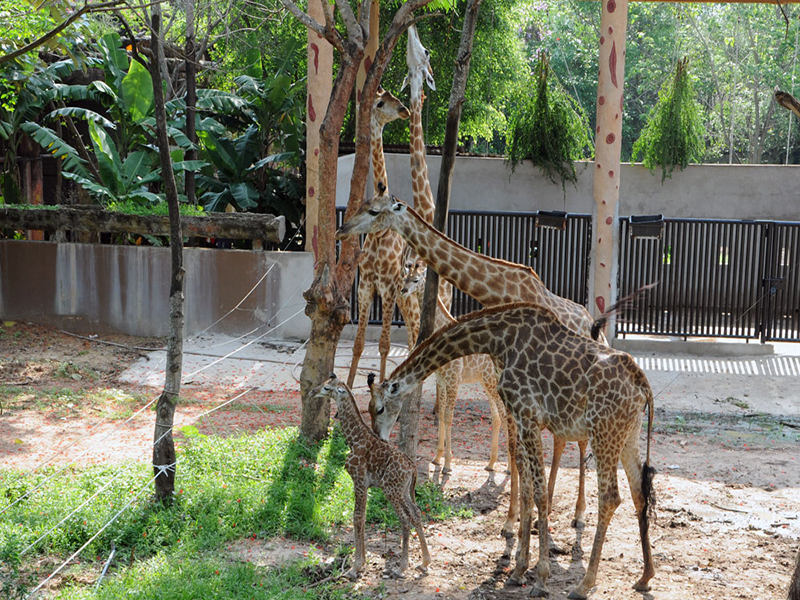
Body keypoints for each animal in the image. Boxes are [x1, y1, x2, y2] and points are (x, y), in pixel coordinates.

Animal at [312, 372, 432, 580]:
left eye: (327, 388)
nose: (313, 392)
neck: (354, 439)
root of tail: (412, 468)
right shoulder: (366, 484)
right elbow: (363, 516)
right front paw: (361, 564)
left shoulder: (358, 480)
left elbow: (357, 517)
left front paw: (355, 567)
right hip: (404, 490)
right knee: (416, 513)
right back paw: (424, 562)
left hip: (391, 489)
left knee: (404, 519)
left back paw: (401, 568)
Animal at [368, 304, 656, 600]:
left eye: (378, 408)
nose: (378, 437)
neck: (499, 341)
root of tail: (643, 385)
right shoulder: (519, 415)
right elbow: (527, 489)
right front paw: (518, 570)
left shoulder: (529, 415)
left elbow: (540, 493)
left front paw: (541, 578)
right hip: (628, 434)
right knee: (639, 492)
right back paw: (644, 577)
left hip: (603, 431)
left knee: (610, 497)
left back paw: (583, 584)